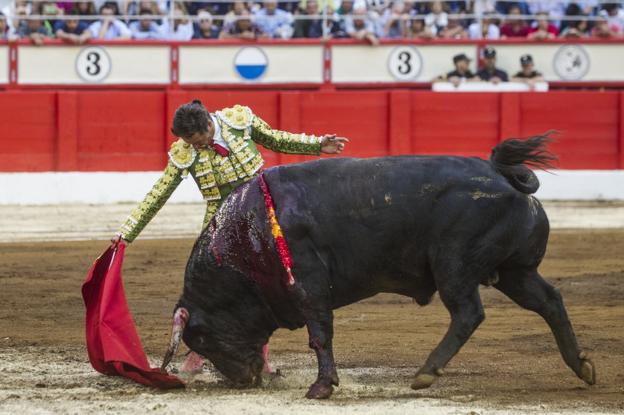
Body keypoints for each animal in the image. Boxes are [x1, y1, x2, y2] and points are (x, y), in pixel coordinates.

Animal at [160, 136, 596, 400]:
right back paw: (582, 366)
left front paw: (321, 387)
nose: (242, 379)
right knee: (549, 301)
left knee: (469, 313)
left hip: (454, 265)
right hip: (514, 271)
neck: (248, 237)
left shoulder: (308, 284)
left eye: (201, 337)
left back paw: (425, 372)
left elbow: (320, 334)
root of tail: (502, 173)